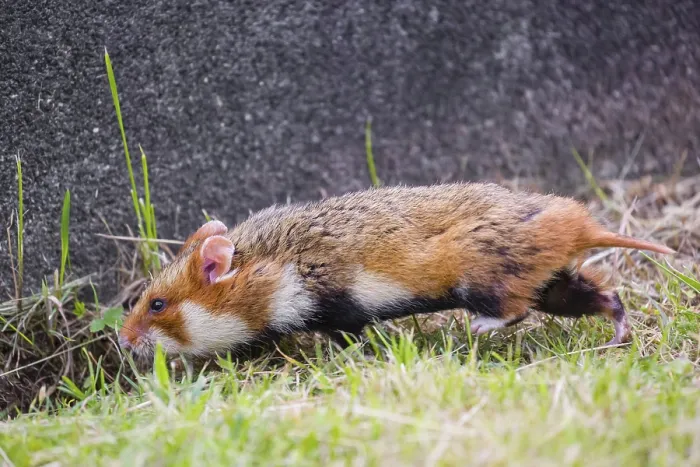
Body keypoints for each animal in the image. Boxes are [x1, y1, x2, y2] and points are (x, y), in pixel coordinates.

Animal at [117, 182, 674, 358]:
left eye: (157, 304)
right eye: (141, 298)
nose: (123, 340)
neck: (273, 263)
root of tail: (581, 223)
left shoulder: (336, 303)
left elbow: (351, 337)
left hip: (484, 274)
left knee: (510, 309)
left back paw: (478, 327)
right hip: (555, 287)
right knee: (606, 297)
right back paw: (619, 336)